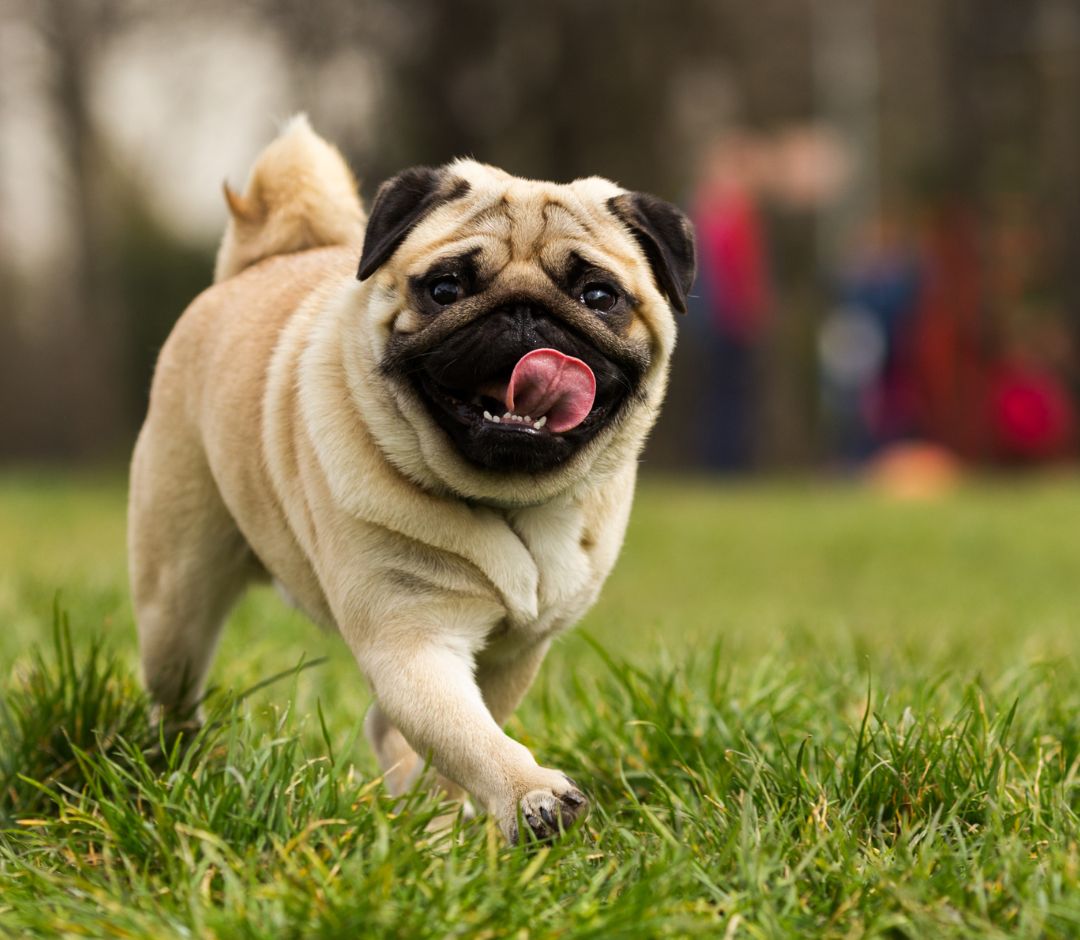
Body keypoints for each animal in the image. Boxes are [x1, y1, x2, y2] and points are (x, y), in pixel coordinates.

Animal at [126, 117, 695, 847]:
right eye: (445, 289)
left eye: (599, 296)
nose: (525, 314)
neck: (507, 499)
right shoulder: (413, 642)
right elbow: (467, 735)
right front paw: (530, 795)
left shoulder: (511, 655)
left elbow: (458, 737)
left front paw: (445, 817)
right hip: (175, 598)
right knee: (175, 686)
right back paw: (174, 765)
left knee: (387, 730)